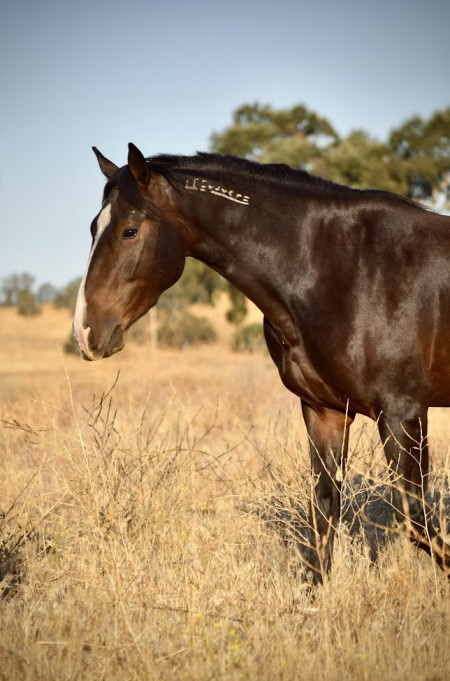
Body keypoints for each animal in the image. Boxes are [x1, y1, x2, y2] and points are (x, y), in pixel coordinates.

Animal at [74, 143, 450, 584]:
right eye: (93, 228)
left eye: (129, 230)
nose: (85, 331)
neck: (347, 270)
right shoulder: (324, 412)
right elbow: (323, 514)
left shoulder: (402, 413)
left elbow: (416, 519)